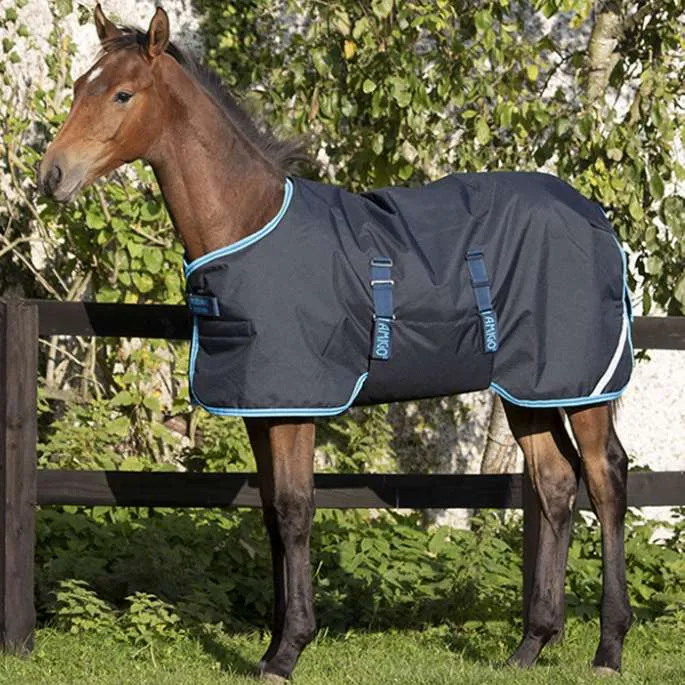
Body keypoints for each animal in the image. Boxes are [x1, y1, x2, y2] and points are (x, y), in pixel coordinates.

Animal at [39, 5, 633, 681]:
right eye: (80, 86)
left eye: (122, 93)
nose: (51, 175)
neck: (248, 223)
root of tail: (596, 216)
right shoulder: (262, 409)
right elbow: (271, 514)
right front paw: (272, 644)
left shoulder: (297, 407)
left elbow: (297, 511)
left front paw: (289, 650)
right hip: (528, 389)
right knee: (556, 484)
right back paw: (530, 645)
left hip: (582, 386)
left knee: (605, 480)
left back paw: (609, 647)